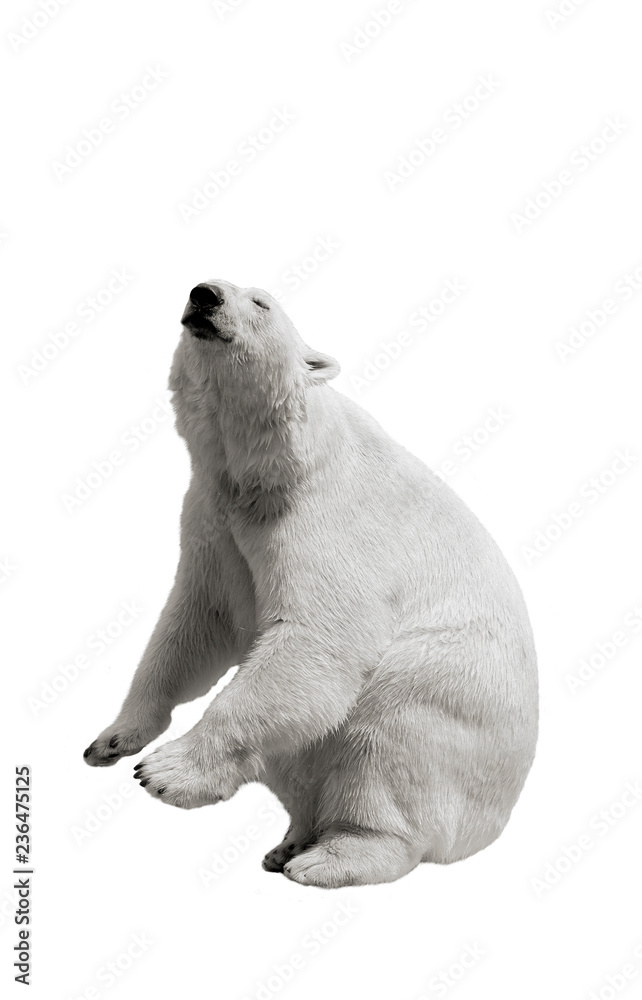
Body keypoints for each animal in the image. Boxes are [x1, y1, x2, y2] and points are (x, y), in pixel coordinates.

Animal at [83, 278, 538, 888]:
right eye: (206, 285)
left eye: (261, 303)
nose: (204, 295)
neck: (266, 469)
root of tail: (499, 818)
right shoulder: (213, 517)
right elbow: (198, 625)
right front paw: (113, 738)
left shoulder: (325, 519)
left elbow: (316, 635)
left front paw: (165, 770)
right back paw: (291, 840)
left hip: (443, 698)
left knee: (384, 734)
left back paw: (329, 857)